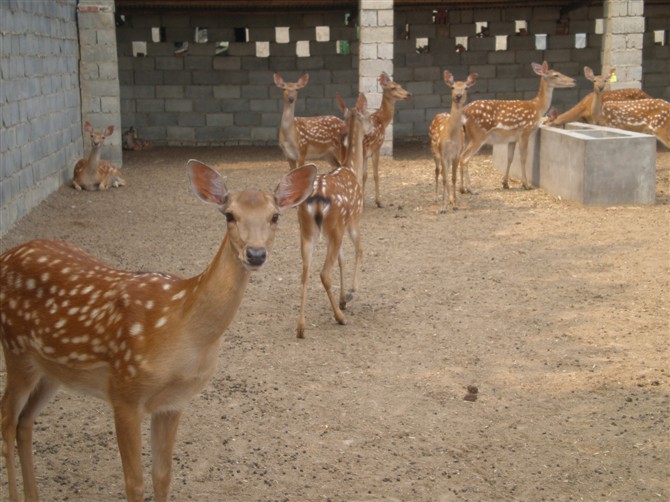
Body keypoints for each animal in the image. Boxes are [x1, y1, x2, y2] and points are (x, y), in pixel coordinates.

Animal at [0, 162, 318, 502]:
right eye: (230, 215)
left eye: (275, 216)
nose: (256, 254)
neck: (183, 330)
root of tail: (7, 256)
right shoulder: (124, 391)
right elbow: (134, 481)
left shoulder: (172, 402)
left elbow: (163, 475)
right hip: (15, 349)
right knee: (7, 418)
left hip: (50, 370)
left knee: (25, 421)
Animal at [296, 92, 372, 340]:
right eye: (369, 115)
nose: (372, 129)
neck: (352, 167)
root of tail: (317, 199)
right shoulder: (354, 218)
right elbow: (359, 251)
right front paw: (350, 294)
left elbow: (342, 258)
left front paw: (342, 299)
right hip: (334, 226)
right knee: (323, 273)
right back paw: (340, 318)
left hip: (308, 230)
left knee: (305, 272)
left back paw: (300, 327)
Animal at [364, 71, 412, 207]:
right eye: (392, 88)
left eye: (400, 85)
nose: (408, 94)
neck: (382, 120)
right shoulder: (376, 146)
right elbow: (375, 174)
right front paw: (378, 202)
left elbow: (364, 175)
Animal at [430, 70, 478, 212]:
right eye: (452, 87)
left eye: (466, 87)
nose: (458, 95)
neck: (451, 137)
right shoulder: (443, 153)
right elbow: (445, 179)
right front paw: (443, 207)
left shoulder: (457, 154)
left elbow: (453, 178)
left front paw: (455, 204)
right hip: (434, 151)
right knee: (437, 171)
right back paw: (436, 198)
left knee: (444, 173)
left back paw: (451, 200)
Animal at [462, 60, 576, 190]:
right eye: (556, 75)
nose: (574, 80)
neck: (537, 108)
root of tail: (465, 111)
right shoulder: (525, 132)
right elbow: (523, 158)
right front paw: (526, 184)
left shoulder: (512, 138)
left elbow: (510, 158)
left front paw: (505, 183)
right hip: (478, 136)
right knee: (464, 158)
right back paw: (470, 189)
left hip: (466, 136)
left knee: (459, 157)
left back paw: (462, 188)